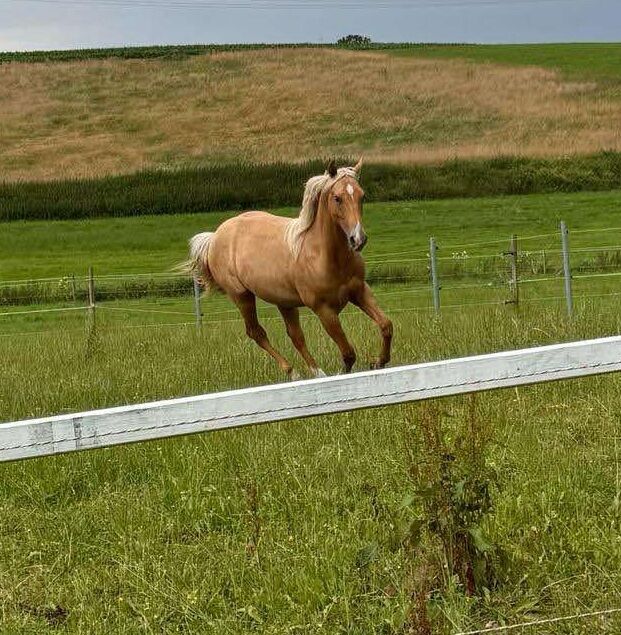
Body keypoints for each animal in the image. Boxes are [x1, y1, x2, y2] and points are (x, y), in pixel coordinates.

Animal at [183, 159, 392, 378]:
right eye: (337, 198)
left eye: (362, 195)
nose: (358, 239)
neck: (323, 255)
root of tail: (215, 236)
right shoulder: (324, 310)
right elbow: (348, 353)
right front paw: (345, 373)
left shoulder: (360, 291)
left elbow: (386, 325)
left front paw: (378, 362)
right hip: (242, 297)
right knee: (256, 332)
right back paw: (293, 373)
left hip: (284, 303)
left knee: (295, 336)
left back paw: (317, 373)